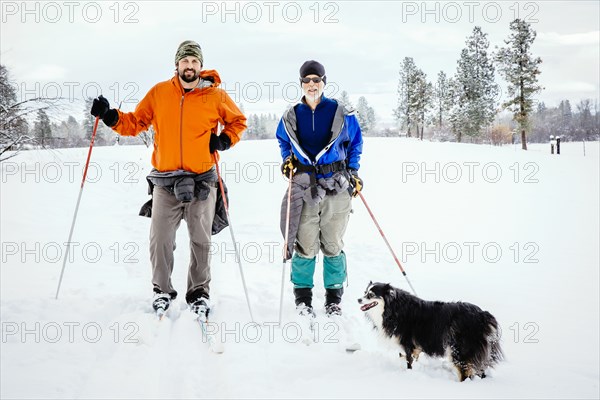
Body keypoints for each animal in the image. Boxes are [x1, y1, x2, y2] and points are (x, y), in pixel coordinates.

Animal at [358, 282, 504, 382]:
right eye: (364, 292)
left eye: (370, 295)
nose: (358, 299)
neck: (392, 309)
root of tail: (483, 315)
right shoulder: (415, 347)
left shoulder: (407, 343)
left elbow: (409, 362)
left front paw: (408, 374)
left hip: (459, 350)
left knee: (465, 373)